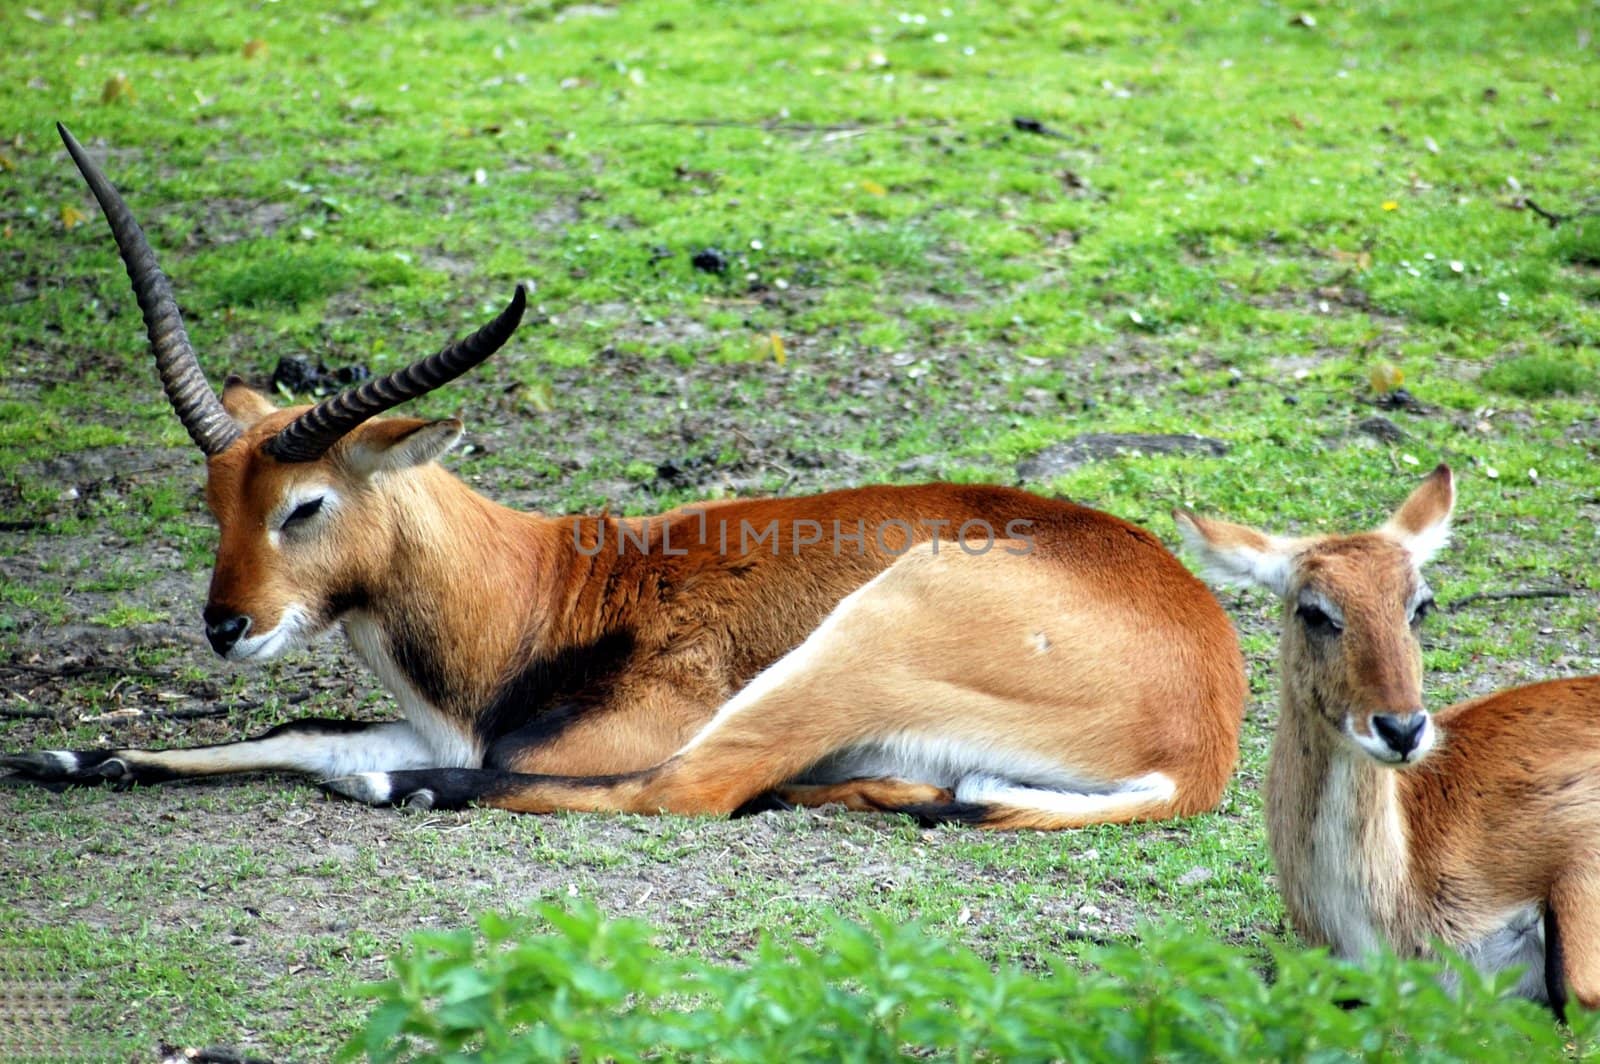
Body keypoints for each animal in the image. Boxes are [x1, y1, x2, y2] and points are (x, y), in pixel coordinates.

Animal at [3, 126, 1248, 832]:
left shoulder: (585, 729)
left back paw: (399, 795)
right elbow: (306, 725)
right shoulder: (427, 722)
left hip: (850, 645)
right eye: (213, 501)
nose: (227, 624)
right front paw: (65, 752)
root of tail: (1202, 723)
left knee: (690, 786)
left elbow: (468, 756)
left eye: (305, 503)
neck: (538, 589)